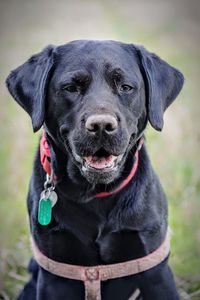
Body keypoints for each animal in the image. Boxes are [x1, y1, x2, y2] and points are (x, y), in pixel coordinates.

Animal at [5, 40, 184, 300]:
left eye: (126, 87)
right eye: (70, 88)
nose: (101, 125)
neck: (95, 193)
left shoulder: (154, 269)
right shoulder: (55, 275)